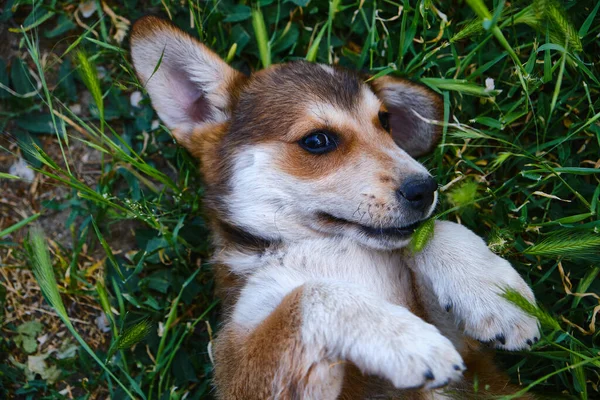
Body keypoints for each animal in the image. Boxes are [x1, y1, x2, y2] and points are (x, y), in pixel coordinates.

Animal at [130, 16, 540, 400]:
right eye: (317, 140)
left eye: (385, 121)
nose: (425, 189)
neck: (325, 246)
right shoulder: (241, 367)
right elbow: (310, 295)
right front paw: (405, 339)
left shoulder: (468, 354)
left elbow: (437, 230)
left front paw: (497, 294)